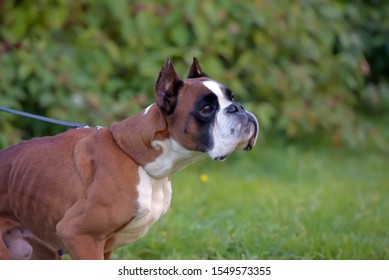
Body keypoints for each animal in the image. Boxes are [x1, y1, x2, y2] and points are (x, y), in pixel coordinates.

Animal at [0, 57, 260, 260]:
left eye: (232, 98)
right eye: (206, 109)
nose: (238, 108)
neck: (138, 158)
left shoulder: (103, 248)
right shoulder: (79, 235)